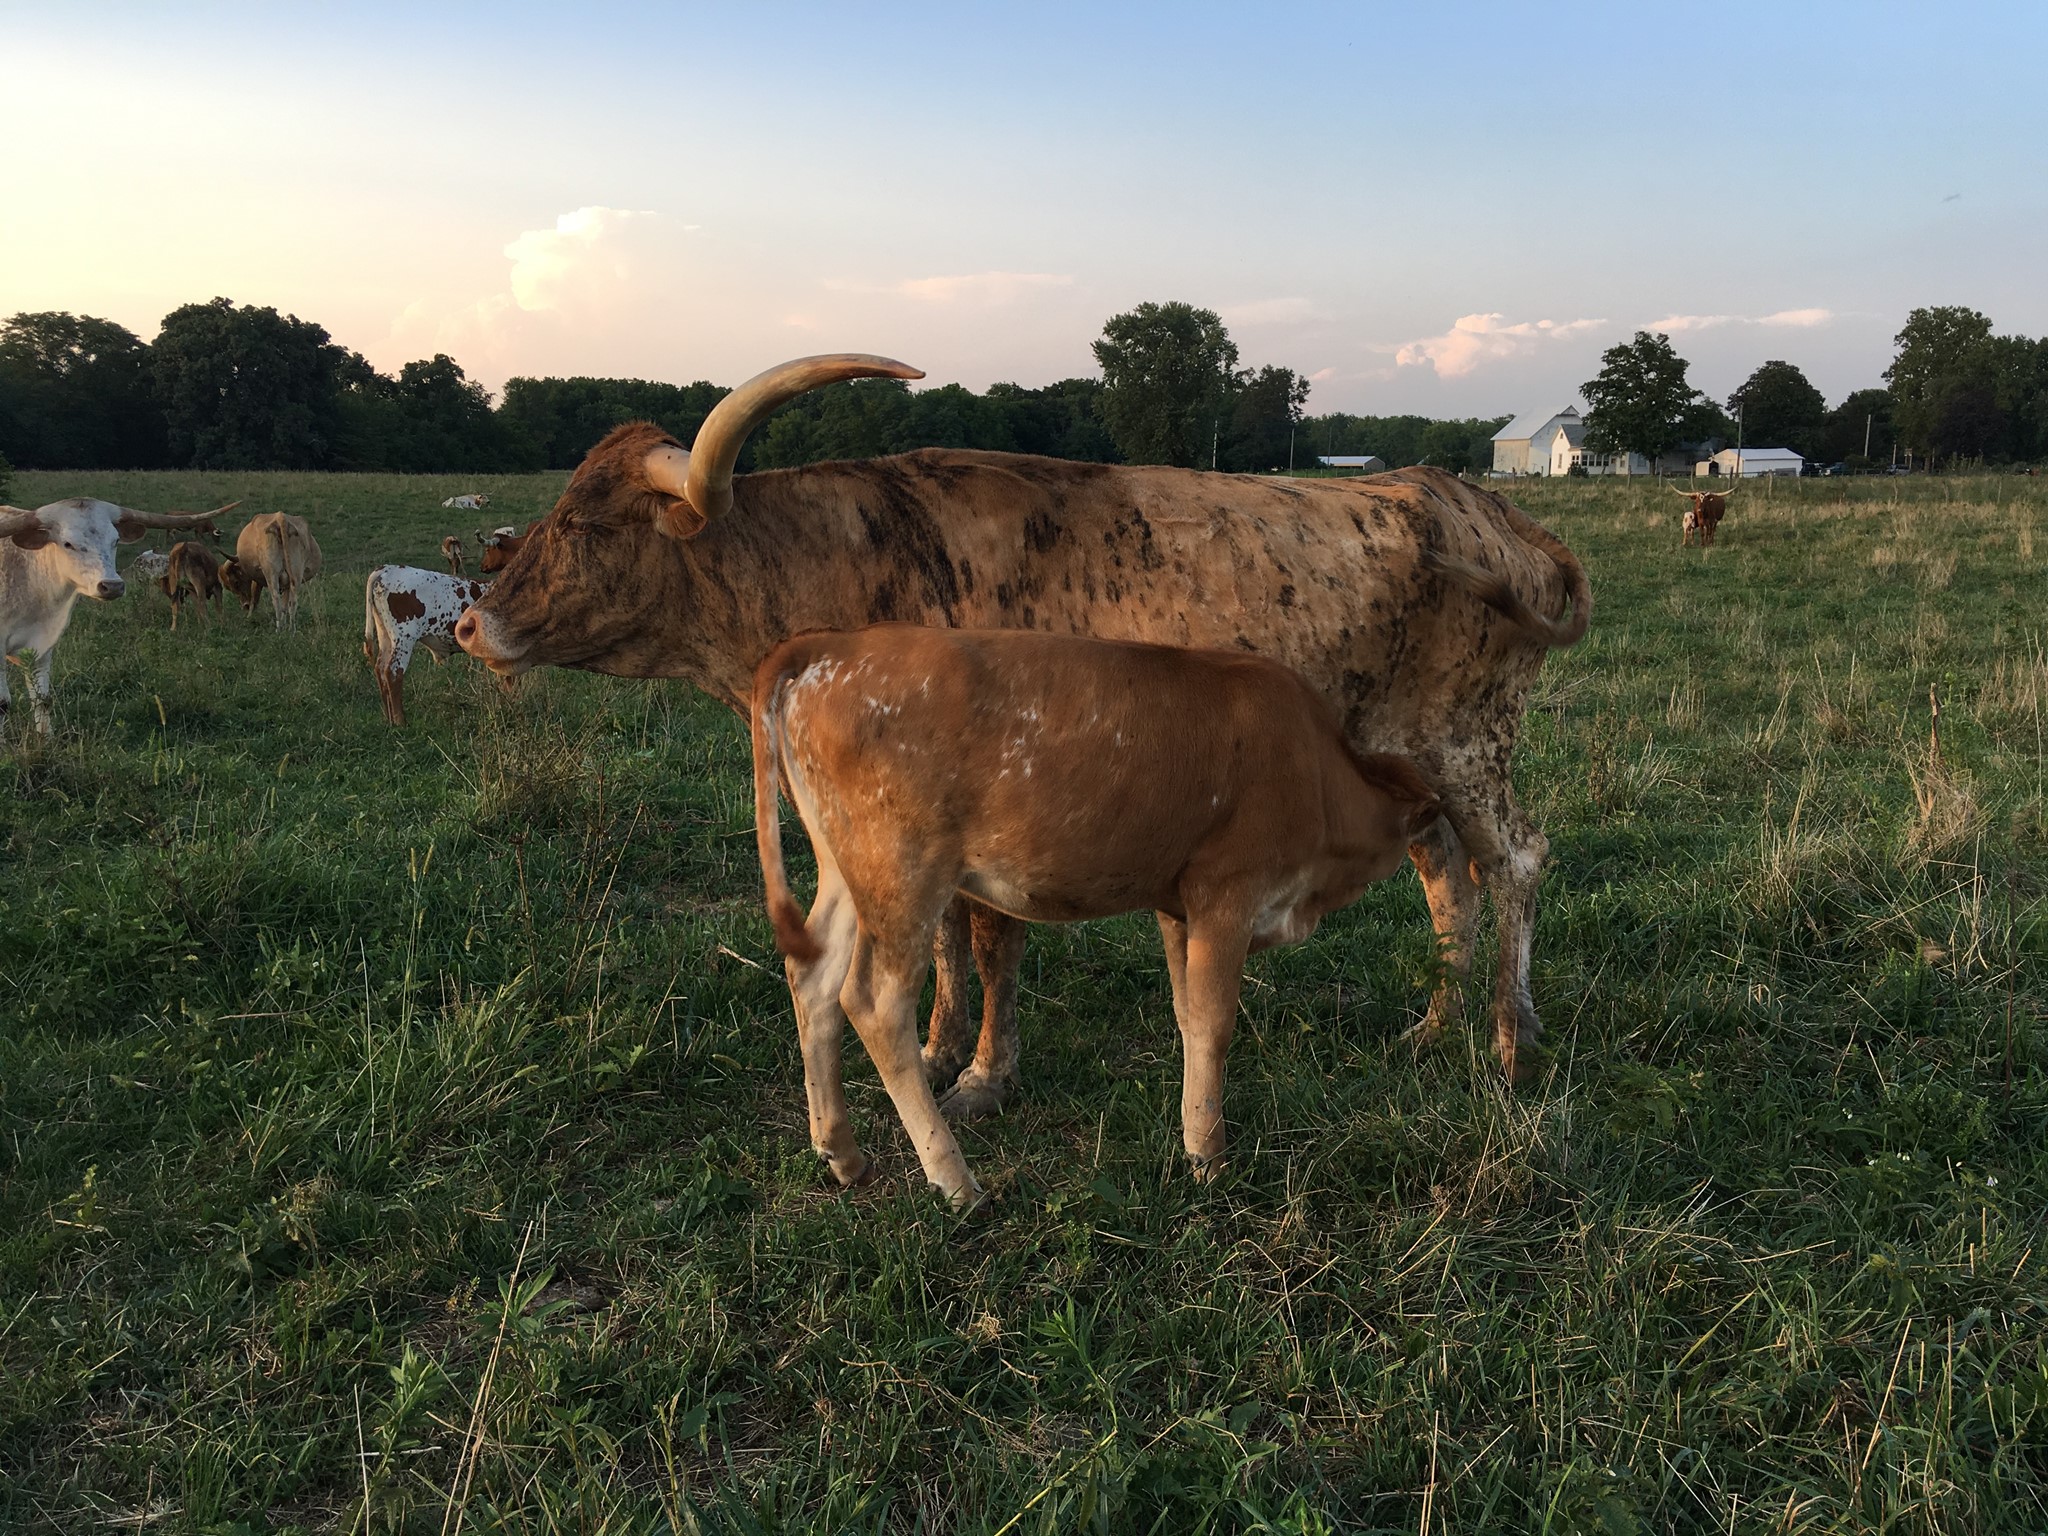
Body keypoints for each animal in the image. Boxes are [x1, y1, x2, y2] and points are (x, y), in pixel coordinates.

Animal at [1, 499, 236, 736]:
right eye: (68, 544)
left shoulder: (42, 647)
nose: (112, 585)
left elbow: (43, 700)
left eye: (115, 541)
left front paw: (46, 738)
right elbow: (4, 704)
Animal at [363, 565, 490, 725]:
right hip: (404, 637)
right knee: (393, 672)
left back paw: (389, 718)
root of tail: (387, 568)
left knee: (380, 669)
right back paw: (400, 721)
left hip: (384, 634)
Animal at [456, 354, 1590, 1094]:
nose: (470, 622)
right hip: (1407, 760)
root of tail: (1481, 508)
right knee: (1448, 879)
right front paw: (939, 1048)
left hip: (1469, 745)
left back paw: (1510, 1039)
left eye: (588, 524)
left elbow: (990, 937)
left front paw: (981, 1076)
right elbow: (949, 939)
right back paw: (1435, 1026)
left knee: (1516, 861)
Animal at [753, 624, 1444, 1210]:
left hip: (849, 871)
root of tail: (833, 644)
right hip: (904, 873)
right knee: (875, 1003)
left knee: (812, 979)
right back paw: (956, 1183)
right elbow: (1215, 1023)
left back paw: (843, 1154)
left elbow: (1188, 1013)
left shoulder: (1176, 902)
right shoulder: (1227, 891)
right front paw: (1210, 1159)